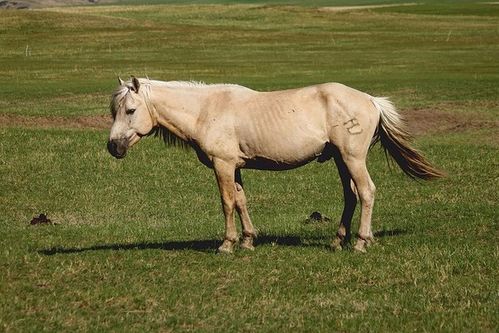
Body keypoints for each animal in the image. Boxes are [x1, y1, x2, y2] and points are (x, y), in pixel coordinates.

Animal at [107, 76, 444, 253]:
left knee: (367, 191)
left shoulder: (222, 165)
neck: (206, 110)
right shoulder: (235, 166)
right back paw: (339, 240)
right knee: (351, 196)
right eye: (115, 111)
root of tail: (371, 100)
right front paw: (247, 241)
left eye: (130, 110)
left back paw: (361, 242)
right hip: (340, 159)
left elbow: (227, 202)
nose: (113, 147)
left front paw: (227, 244)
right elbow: (241, 201)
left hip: (352, 158)